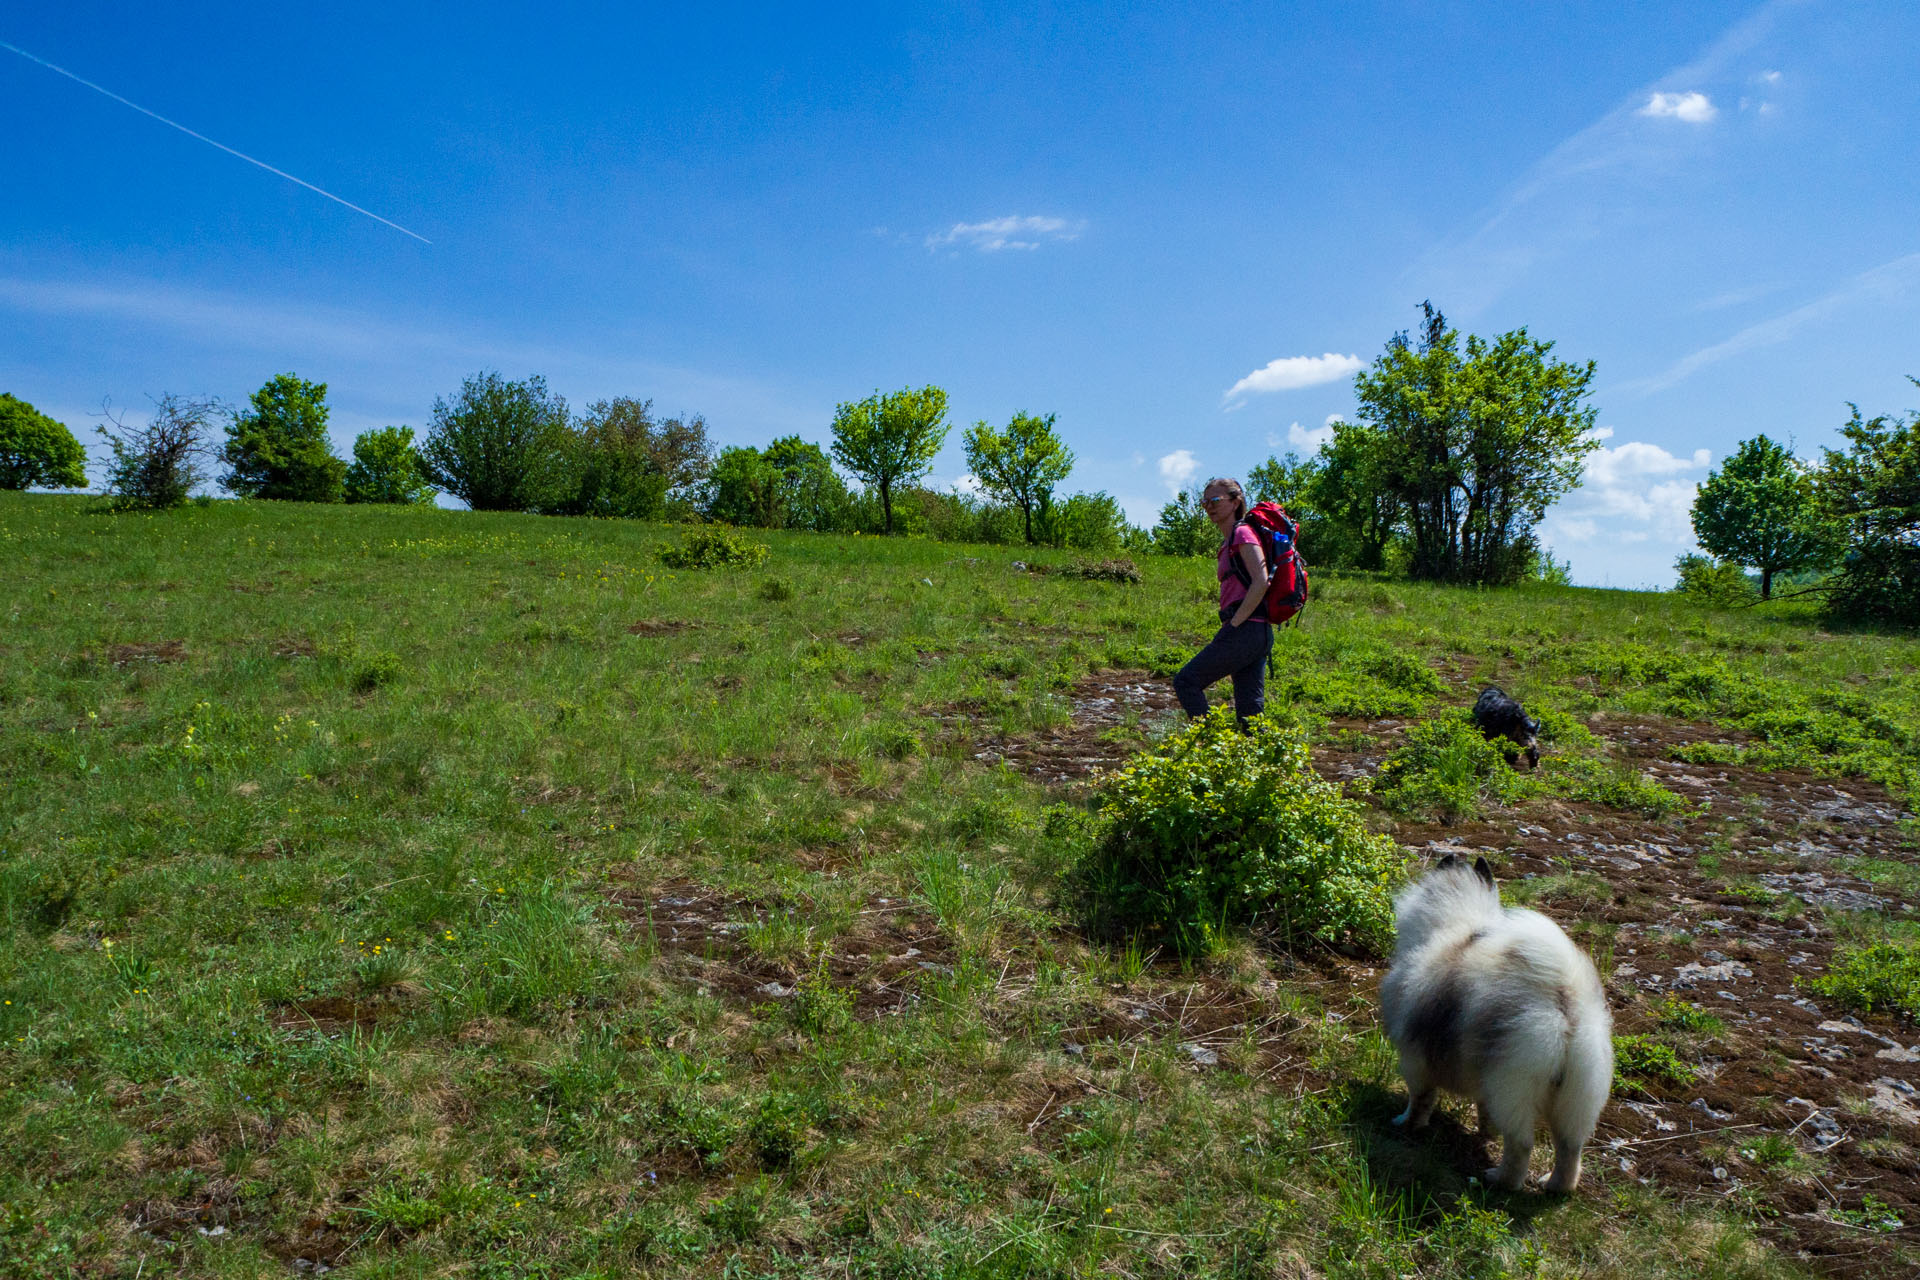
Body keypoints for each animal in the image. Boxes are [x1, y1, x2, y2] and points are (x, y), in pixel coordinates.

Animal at [1382, 855, 1605, 1197]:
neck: (1458, 925)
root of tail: (1562, 1002)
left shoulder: (1414, 1061)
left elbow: (1419, 1101)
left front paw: (1405, 1124)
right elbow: (1482, 1114)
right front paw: (1483, 1135)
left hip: (1511, 1089)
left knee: (1521, 1147)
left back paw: (1498, 1180)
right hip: (1574, 1101)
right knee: (1570, 1150)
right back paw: (1553, 1186)